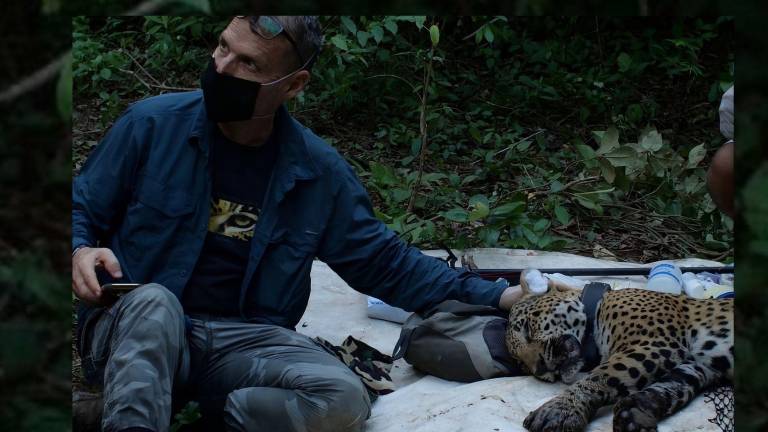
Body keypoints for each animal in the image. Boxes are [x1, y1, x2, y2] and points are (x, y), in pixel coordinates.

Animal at [505, 273, 733, 432]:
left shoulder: (654, 343)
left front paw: (560, 409)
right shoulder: (698, 366)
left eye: (527, 328)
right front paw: (634, 413)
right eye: (522, 366)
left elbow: (602, 376)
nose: (540, 367)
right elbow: (668, 387)